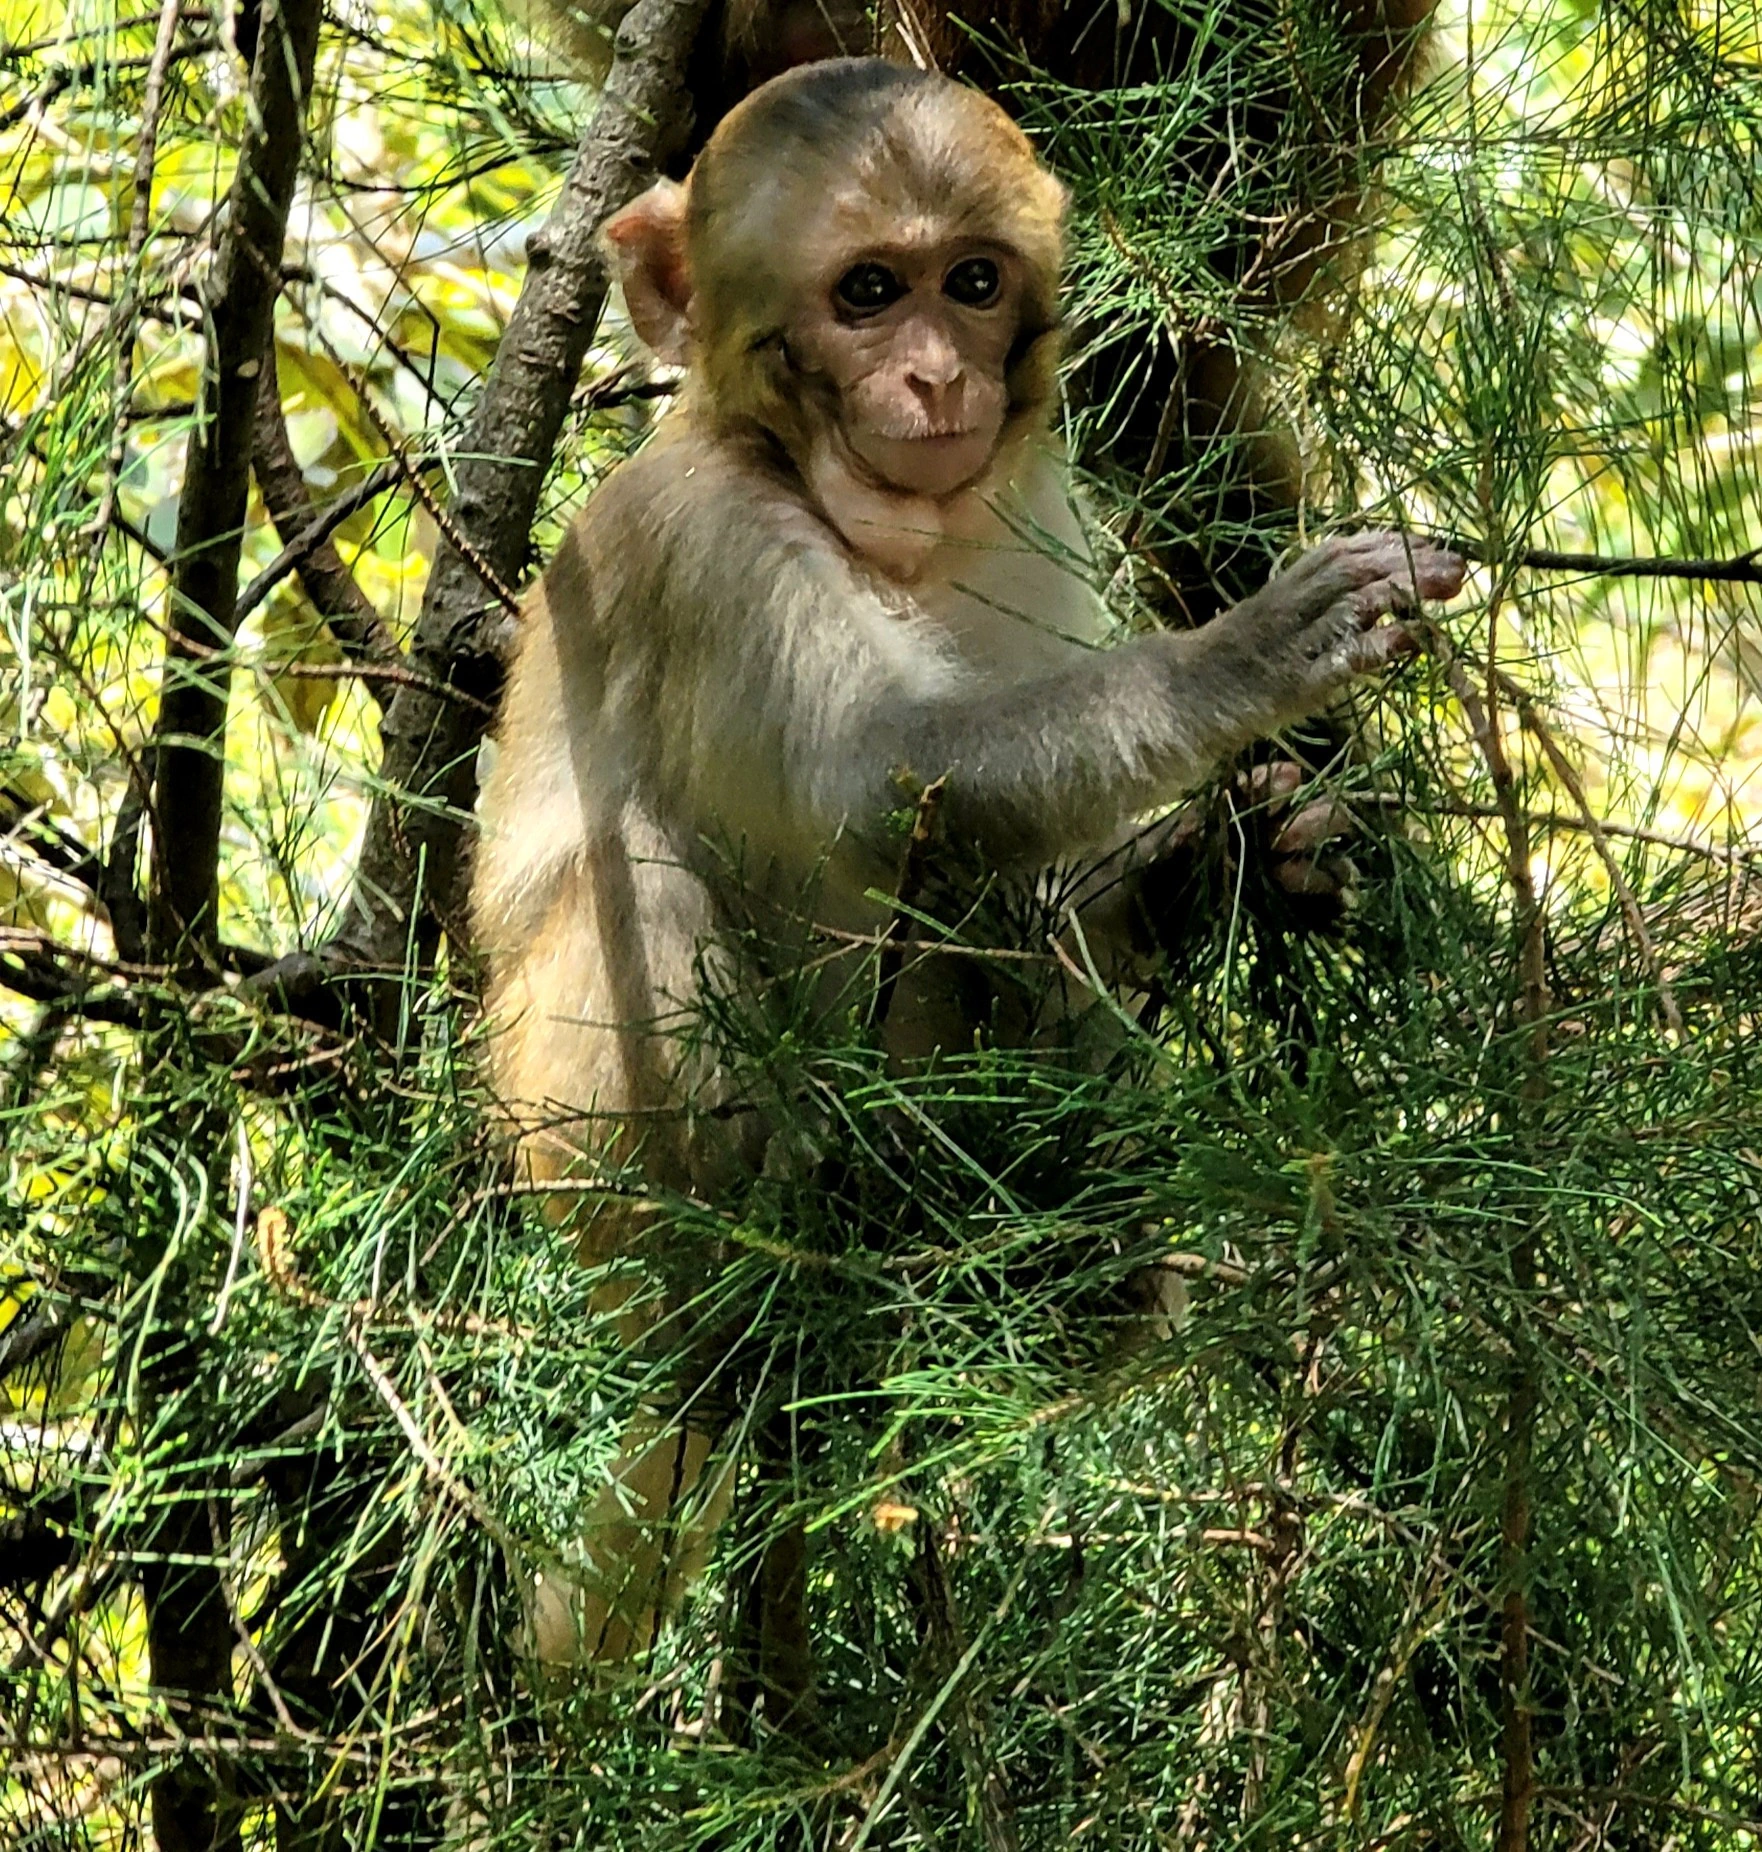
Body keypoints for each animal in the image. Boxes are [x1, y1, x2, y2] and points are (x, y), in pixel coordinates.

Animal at [468, 56, 1464, 1667]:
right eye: (868, 292)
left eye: (973, 283)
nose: (937, 378)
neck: (893, 531)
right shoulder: (696, 536)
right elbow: (887, 777)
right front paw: (1248, 653)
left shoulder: (1027, 513)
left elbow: (1051, 876)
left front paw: (1253, 859)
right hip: (571, 1170)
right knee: (640, 888)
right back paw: (753, 1288)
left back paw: (1052, 1270)